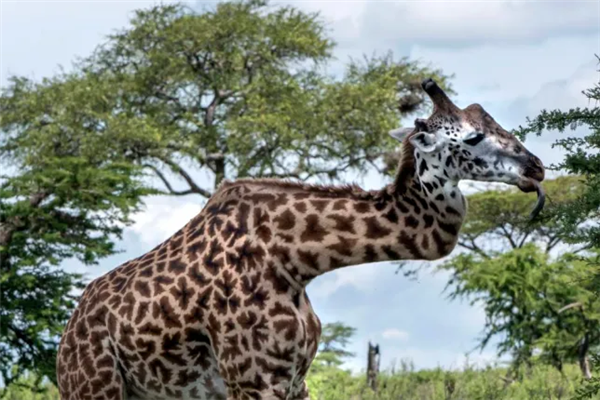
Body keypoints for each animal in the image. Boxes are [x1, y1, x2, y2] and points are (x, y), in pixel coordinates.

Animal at [56, 79, 544, 400]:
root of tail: (65, 340)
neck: (296, 260)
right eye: (473, 137)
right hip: (95, 388)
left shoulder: (296, 379)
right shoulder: (253, 380)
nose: (536, 168)